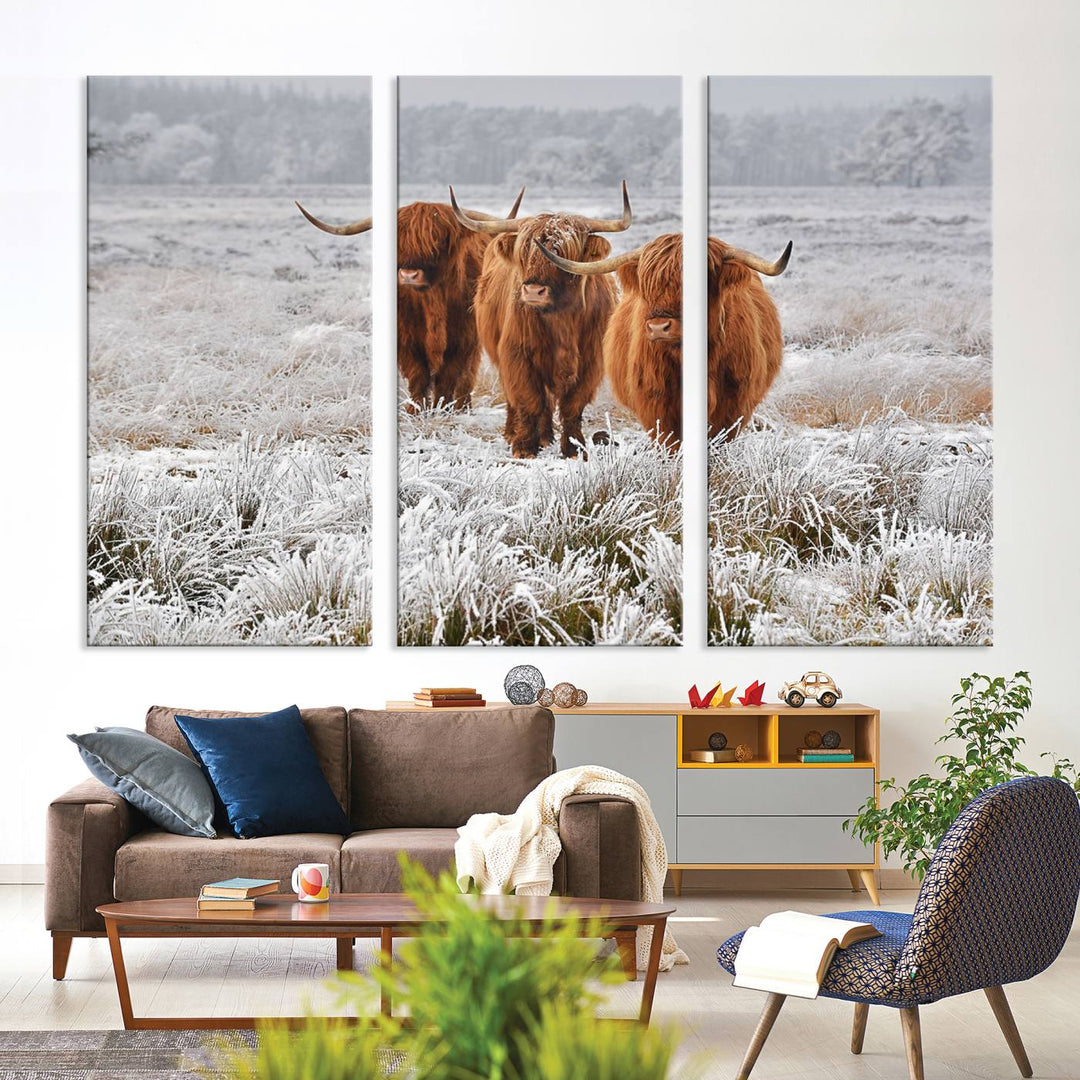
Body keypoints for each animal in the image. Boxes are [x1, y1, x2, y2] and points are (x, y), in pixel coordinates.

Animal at [295, 187, 522, 406]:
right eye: (398, 241)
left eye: (439, 239)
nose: (409, 275)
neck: (433, 302)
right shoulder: (407, 340)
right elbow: (418, 377)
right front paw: (415, 410)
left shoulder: (463, 339)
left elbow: (448, 379)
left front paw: (443, 409)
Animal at [447, 180, 630, 455]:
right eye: (524, 253)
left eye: (564, 253)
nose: (533, 291)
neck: (562, 321)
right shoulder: (517, 355)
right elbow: (529, 400)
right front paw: (524, 447)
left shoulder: (591, 362)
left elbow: (572, 405)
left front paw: (574, 448)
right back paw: (517, 434)